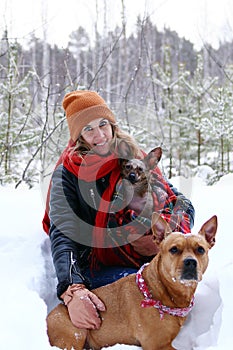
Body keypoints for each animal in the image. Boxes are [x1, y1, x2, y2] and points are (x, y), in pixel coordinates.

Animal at [46, 213, 218, 350]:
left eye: (200, 249)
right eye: (174, 249)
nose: (190, 262)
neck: (161, 292)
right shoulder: (157, 344)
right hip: (75, 334)